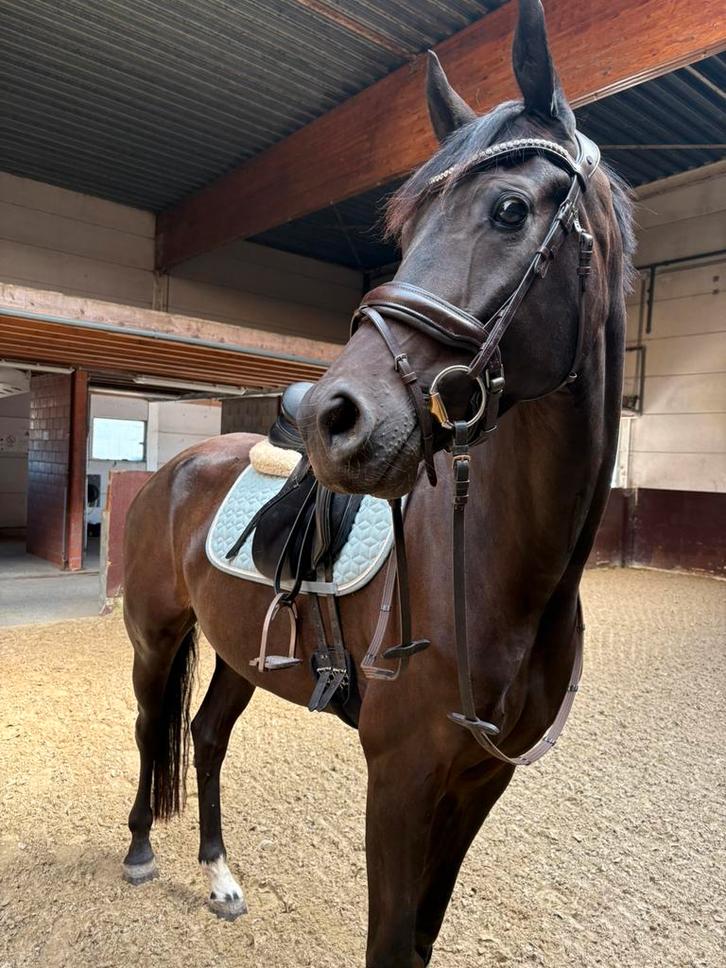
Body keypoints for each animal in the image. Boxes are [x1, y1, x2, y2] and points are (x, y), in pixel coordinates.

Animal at [121, 2, 634, 964]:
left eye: (510, 209)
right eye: (405, 232)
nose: (333, 417)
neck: (503, 579)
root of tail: (176, 469)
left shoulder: (476, 782)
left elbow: (420, 936)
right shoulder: (401, 778)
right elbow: (391, 939)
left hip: (242, 650)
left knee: (205, 737)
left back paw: (220, 875)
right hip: (155, 636)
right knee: (147, 729)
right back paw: (138, 850)